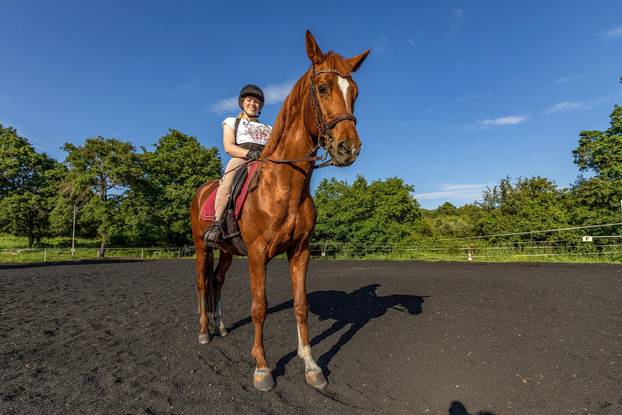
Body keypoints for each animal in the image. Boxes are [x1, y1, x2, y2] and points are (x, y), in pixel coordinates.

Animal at [190, 30, 370, 392]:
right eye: (323, 88)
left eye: (355, 93)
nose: (349, 148)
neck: (284, 186)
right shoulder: (258, 253)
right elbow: (259, 307)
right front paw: (262, 368)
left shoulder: (300, 251)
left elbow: (301, 305)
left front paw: (311, 366)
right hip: (203, 246)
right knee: (203, 284)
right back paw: (205, 332)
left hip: (227, 251)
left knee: (217, 281)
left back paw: (221, 327)